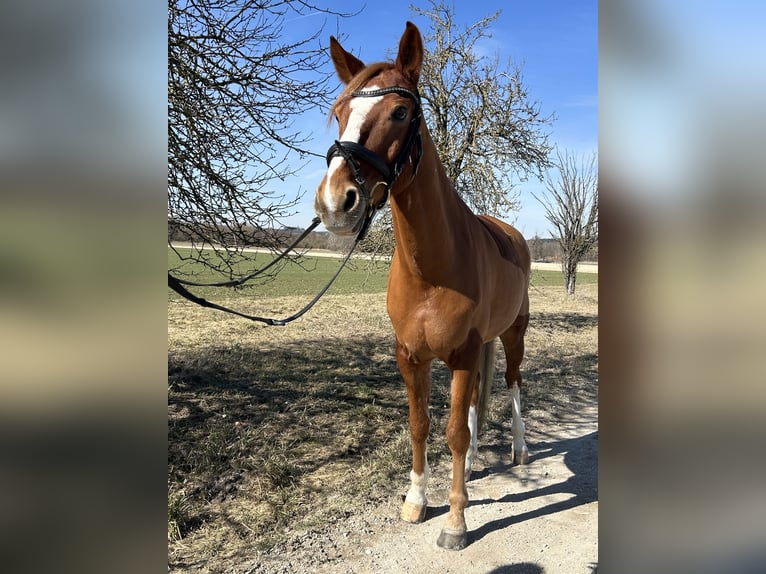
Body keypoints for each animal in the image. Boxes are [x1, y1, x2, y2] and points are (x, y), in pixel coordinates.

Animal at [316, 23, 532, 552]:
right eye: (340, 113)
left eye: (400, 112)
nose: (335, 202)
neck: (431, 269)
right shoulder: (411, 356)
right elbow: (421, 425)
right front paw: (417, 500)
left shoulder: (461, 354)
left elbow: (452, 430)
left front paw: (455, 521)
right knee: (476, 401)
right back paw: (471, 467)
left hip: (513, 334)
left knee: (513, 384)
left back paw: (517, 448)